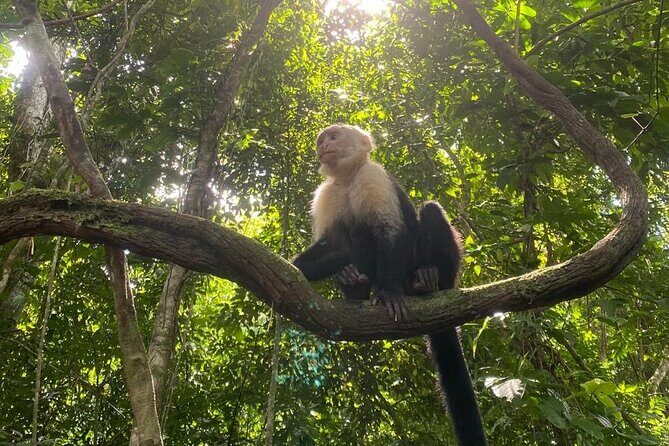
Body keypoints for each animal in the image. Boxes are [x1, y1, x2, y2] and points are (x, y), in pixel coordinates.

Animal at [292, 124, 487, 445]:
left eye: (333, 137)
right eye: (322, 141)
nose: (322, 146)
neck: (348, 179)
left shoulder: (373, 176)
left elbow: (389, 231)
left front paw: (388, 293)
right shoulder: (327, 194)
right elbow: (334, 246)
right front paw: (293, 267)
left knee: (428, 212)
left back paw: (429, 281)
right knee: (353, 234)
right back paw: (355, 286)